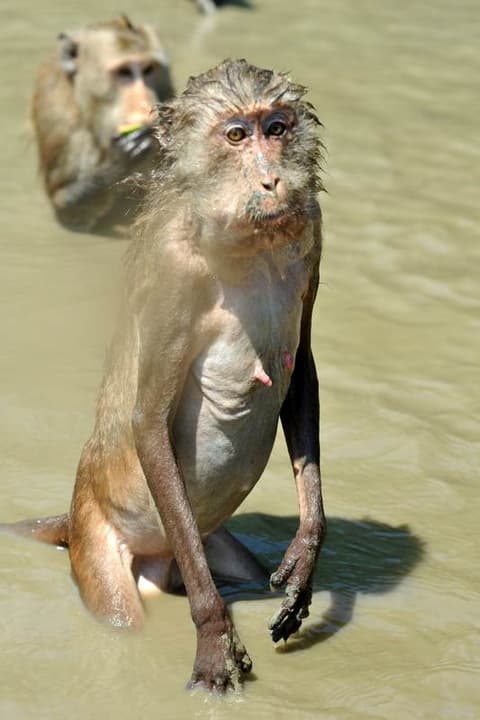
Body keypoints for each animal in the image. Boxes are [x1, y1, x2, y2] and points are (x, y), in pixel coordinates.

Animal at [3, 59, 326, 692]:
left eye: (275, 128)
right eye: (236, 136)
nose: (271, 180)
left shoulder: (314, 234)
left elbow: (301, 371)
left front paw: (307, 550)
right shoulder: (174, 276)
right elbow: (148, 420)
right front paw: (214, 634)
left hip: (196, 543)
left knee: (234, 567)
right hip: (98, 538)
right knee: (121, 615)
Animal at [31, 16, 174, 232]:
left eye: (148, 70)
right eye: (124, 72)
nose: (144, 103)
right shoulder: (59, 119)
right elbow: (65, 206)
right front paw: (119, 162)